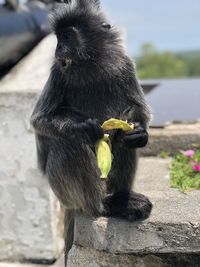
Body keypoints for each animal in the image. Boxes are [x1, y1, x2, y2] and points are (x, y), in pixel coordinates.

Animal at [31, 0, 152, 264]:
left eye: (67, 36)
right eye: (58, 38)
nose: (58, 49)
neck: (90, 64)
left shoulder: (124, 64)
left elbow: (138, 109)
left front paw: (139, 132)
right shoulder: (57, 72)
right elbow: (39, 121)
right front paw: (84, 127)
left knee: (121, 140)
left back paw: (121, 198)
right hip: (66, 194)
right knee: (68, 143)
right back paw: (105, 206)